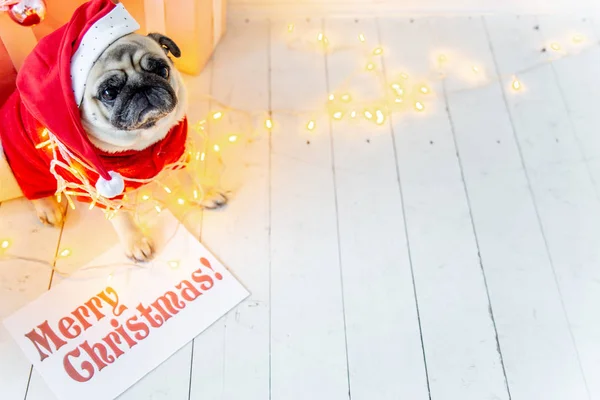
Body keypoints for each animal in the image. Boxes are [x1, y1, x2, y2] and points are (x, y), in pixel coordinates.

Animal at [31, 32, 227, 260]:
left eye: (162, 70)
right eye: (108, 92)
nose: (141, 87)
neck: (143, 139)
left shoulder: (176, 154)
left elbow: (189, 178)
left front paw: (204, 194)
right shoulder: (105, 187)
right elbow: (122, 216)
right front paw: (135, 242)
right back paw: (48, 208)